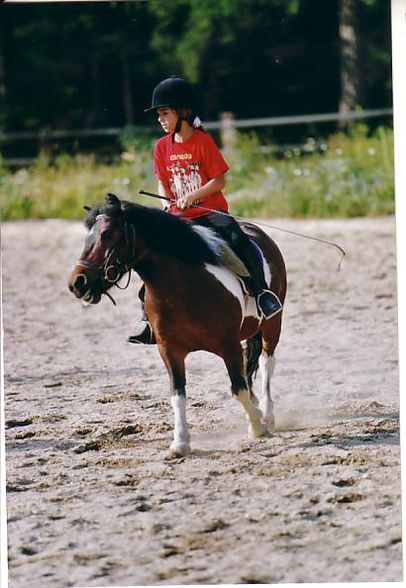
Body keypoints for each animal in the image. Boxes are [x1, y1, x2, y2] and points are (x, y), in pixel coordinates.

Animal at [68, 195, 288, 458]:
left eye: (107, 234)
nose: (77, 282)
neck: (182, 285)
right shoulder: (169, 350)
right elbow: (178, 395)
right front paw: (180, 443)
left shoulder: (229, 345)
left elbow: (238, 389)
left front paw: (257, 426)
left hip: (272, 324)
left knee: (266, 363)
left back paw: (268, 414)